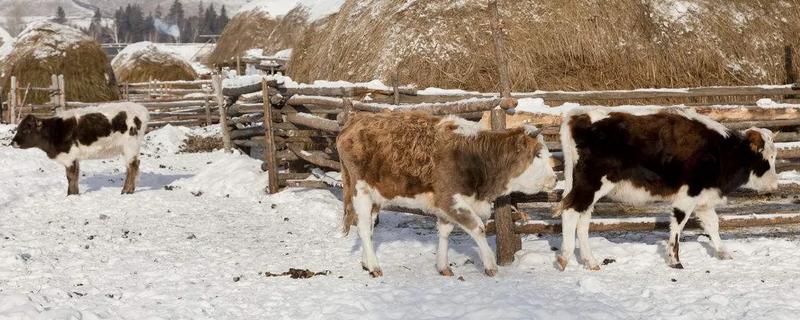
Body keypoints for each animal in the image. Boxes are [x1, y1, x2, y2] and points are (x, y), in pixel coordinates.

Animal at [9, 102, 150, 195]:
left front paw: (71, 194)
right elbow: (74, 176)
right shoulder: (73, 158)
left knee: (133, 167)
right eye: (18, 128)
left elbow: (71, 176)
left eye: (26, 129)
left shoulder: (69, 156)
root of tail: (140, 108)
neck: (55, 131)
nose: (13, 142)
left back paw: (126, 191)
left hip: (130, 146)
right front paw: (74, 193)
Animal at [338, 112, 556, 278]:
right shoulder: (449, 198)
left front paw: (443, 266)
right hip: (360, 191)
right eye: (538, 154)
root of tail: (355, 120)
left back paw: (367, 262)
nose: (554, 178)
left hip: (375, 196)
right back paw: (375, 267)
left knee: (368, 228)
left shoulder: (448, 206)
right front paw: (490, 266)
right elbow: (477, 228)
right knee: (364, 228)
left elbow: (445, 232)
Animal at [556, 107, 776, 270]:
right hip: (592, 184)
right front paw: (675, 260)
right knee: (570, 211)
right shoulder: (688, 194)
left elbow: (713, 225)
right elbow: (679, 223)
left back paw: (591, 262)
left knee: (582, 219)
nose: (775, 183)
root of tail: (580, 116)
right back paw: (565, 258)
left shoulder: (704, 199)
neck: (721, 151)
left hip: (585, 188)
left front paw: (724, 253)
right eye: (767, 158)